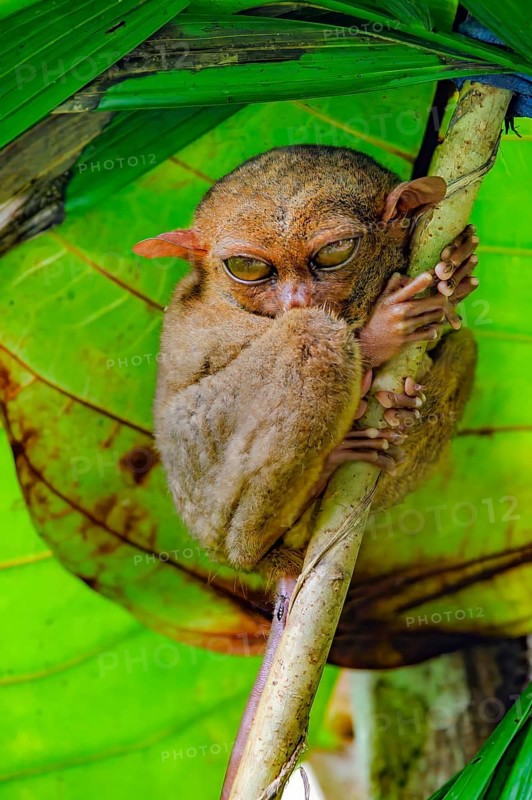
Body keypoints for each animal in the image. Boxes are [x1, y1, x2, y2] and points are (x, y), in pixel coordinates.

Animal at [133, 145, 479, 797]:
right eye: (248, 268)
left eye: (334, 255)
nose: (295, 300)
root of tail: (268, 566)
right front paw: (383, 329)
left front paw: (457, 267)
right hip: (211, 480)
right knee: (311, 339)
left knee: (466, 346)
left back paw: (394, 414)